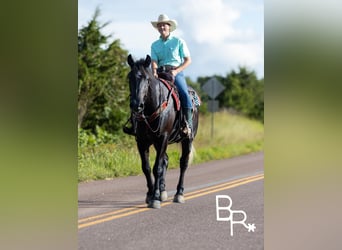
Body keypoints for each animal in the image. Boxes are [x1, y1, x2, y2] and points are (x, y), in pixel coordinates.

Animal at [127, 54, 199, 209]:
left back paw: (179, 194)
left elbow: (157, 168)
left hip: (187, 139)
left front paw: (155, 198)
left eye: (146, 79)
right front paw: (151, 194)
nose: (136, 105)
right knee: (165, 160)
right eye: (129, 78)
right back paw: (163, 191)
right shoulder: (142, 141)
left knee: (183, 163)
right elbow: (147, 168)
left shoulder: (163, 138)